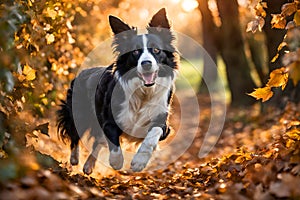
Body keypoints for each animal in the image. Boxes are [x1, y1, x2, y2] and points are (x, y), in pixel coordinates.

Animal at [56, 8, 178, 173]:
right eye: (135, 52)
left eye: (156, 50)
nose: (146, 63)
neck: (143, 92)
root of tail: (83, 72)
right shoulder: (109, 120)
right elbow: (114, 143)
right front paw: (116, 161)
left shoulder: (162, 122)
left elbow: (153, 134)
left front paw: (139, 161)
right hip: (79, 113)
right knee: (76, 134)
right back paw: (75, 158)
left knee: (97, 142)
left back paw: (88, 165)